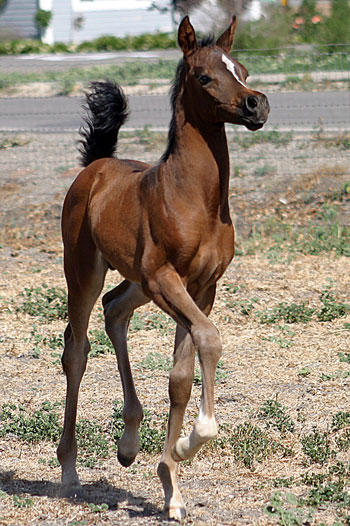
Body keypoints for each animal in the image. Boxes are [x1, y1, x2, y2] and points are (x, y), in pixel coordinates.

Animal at [57, 14, 270, 520]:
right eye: (204, 76)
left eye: (243, 70)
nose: (256, 104)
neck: (195, 199)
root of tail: (96, 167)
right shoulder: (165, 279)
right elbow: (209, 339)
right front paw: (191, 442)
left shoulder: (201, 287)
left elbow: (180, 378)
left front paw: (172, 485)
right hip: (85, 271)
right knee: (77, 349)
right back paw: (69, 469)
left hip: (137, 283)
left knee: (115, 310)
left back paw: (128, 443)